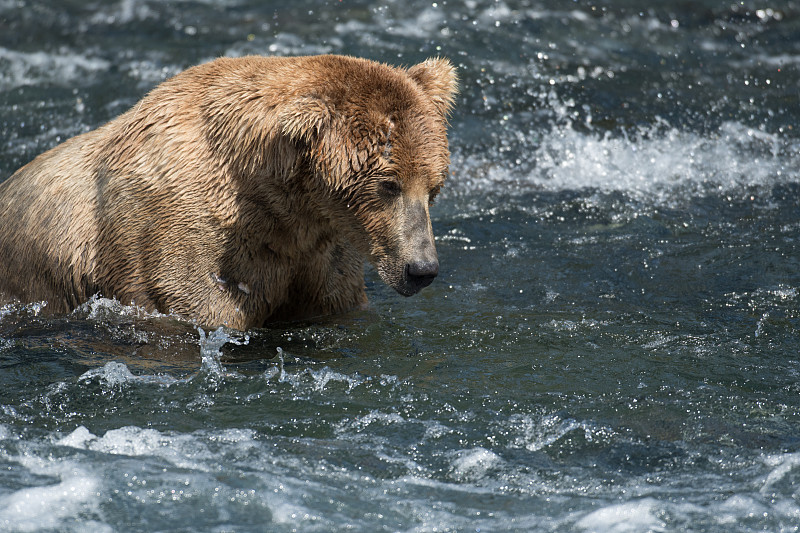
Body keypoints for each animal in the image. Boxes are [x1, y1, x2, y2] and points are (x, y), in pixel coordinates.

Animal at [0, 54, 456, 328]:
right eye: (388, 185)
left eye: (433, 187)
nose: (422, 269)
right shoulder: (177, 236)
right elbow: (197, 300)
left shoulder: (320, 249)